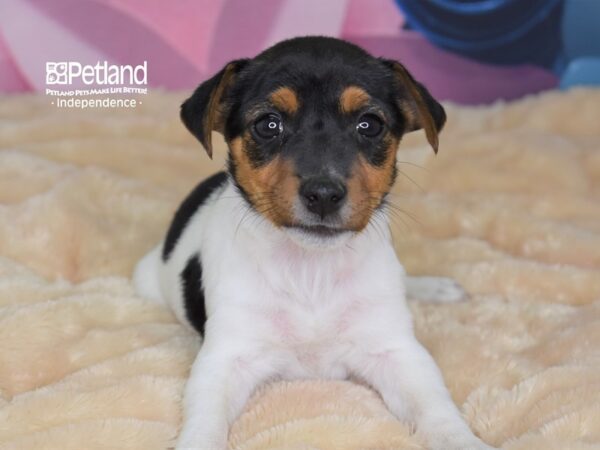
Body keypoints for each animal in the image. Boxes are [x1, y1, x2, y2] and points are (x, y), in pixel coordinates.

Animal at [134, 36, 494, 450]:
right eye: (268, 125)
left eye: (369, 125)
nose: (323, 194)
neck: (310, 271)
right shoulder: (225, 358)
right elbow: (205, 421)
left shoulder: (397, 352)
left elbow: (436, 409)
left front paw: (461, 440)